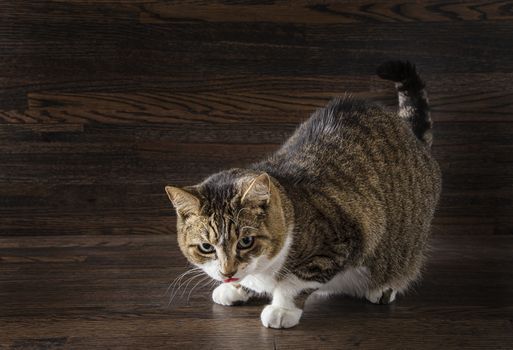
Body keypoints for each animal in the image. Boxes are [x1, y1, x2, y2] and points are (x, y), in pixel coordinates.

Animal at [164, 60, 440, 328]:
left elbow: (296, 281)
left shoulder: (338, 241)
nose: (227, 273)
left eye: (245, 241)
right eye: (206, 247)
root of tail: (410, 134)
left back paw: (384, 288)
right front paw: (236, 288)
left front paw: (282, 309)